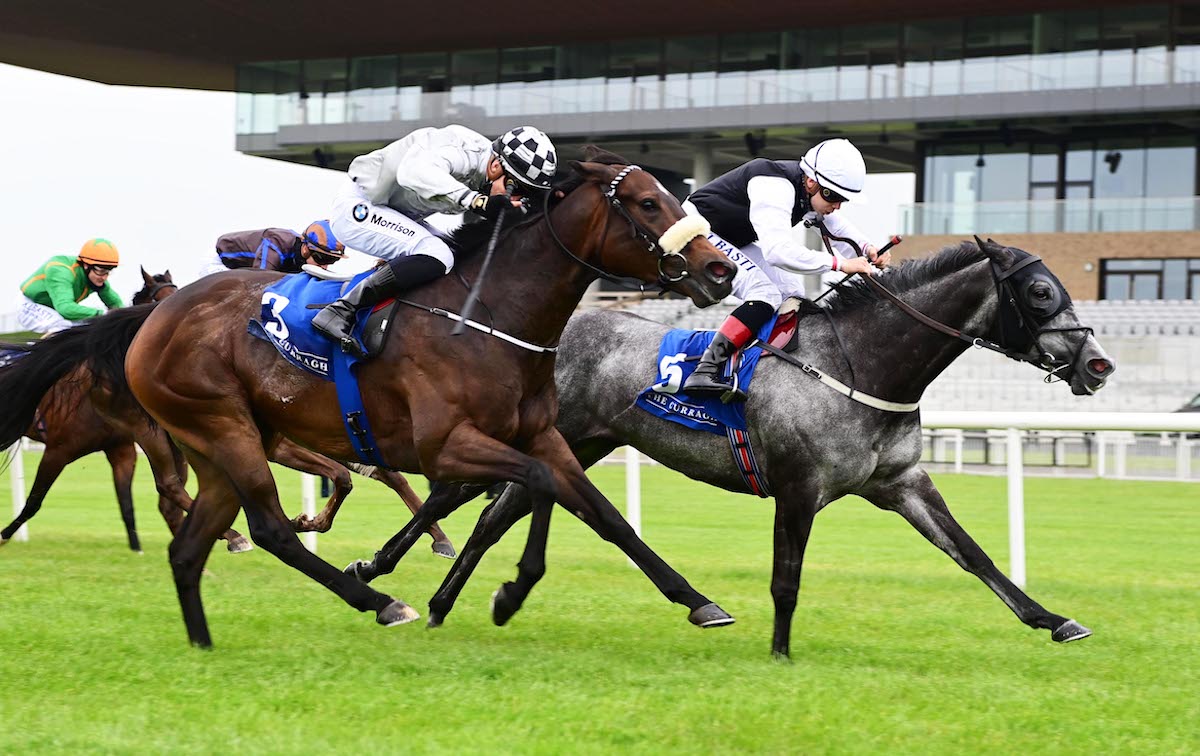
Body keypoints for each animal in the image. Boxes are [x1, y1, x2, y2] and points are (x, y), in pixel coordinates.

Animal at [82, 151, 729, 648]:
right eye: (647, 204)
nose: (719, 268)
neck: (487, 316)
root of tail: (158, 314)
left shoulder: (543, 434)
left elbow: (605, 515)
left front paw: (698, 601)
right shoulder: (445, 446)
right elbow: (536, 484)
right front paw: (511, 592)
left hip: (217, 445)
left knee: (191, 548)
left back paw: (203, 641)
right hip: (226, 426)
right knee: (270, 529)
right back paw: (380, 601)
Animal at [417, 238, 1118, 657]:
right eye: (1040, 292)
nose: (1099, 364)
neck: (862, 363)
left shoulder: (900, 483)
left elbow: (973, 554)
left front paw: (1053, 619)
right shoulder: (799, 485)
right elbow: (787, 576)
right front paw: (781, 653)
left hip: (582, 444)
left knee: (497, 515)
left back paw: (446, 604)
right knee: (469, 504)